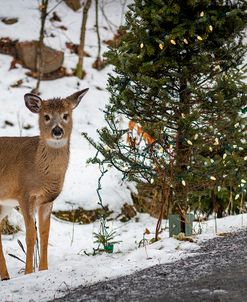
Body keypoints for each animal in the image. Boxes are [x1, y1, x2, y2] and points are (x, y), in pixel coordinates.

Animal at [0, 88, 89, 280]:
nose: (57, 131)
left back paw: (5, 276)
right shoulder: (24, 194)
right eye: (46, 116)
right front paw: (28, 272)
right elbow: (30, 234)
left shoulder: (48, 199)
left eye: (65, 115)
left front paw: (43, 270)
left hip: (4, 204)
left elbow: (44, 233)